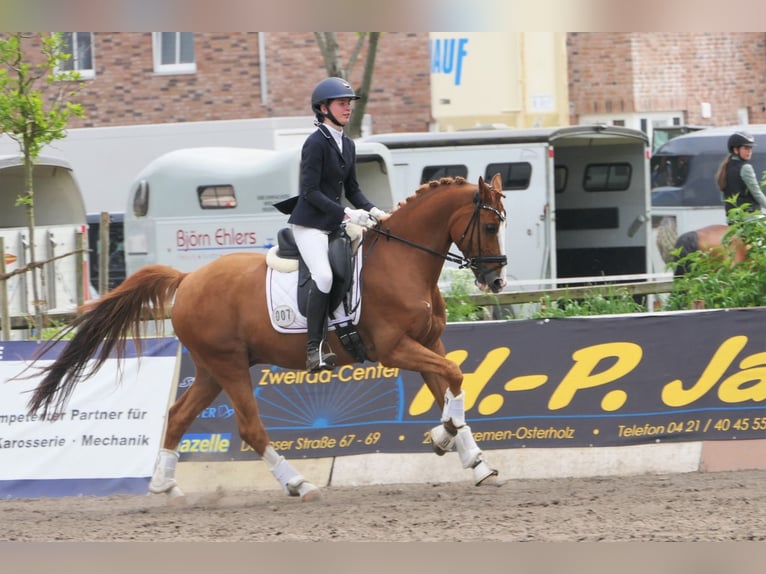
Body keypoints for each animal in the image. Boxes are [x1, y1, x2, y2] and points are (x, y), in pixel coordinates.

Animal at [22, 176, 510, 504]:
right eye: (489, 227)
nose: (497, 281)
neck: (404, 261)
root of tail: (188, 279)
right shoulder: (394, 348)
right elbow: (453, 377)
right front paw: (445, 437)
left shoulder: (430, 343)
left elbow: (450, 386)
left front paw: (472, 459)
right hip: (229, 365)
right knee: (250, 428)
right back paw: (298, 483)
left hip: (211, 369)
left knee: (178, 416)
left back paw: (163, 483)